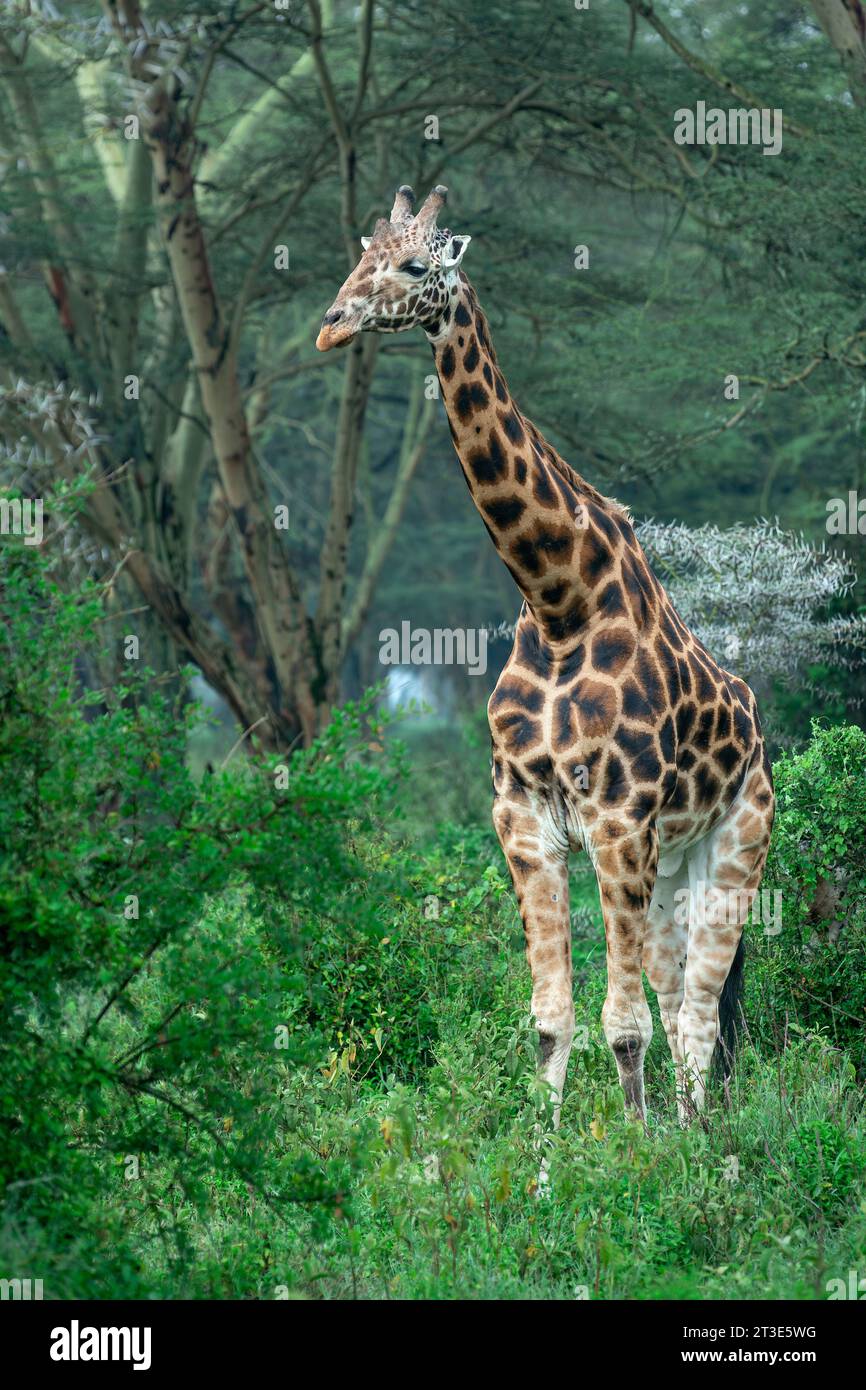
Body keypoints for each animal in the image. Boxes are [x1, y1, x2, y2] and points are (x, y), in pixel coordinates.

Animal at [318, 184, 778, 1134]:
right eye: (358, 256)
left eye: (414, 264)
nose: (332, 326)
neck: (559, 595)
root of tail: (757, 727)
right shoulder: (523, 820)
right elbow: (550, 1019)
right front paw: (543, 1156)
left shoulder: (617, 820)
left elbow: (623, 1022)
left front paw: (634, 1161)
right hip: (674, 864)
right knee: (682, 1001)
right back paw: (692, 1131)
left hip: (738, 842)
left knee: (698, 1011)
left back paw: (701, 1145)